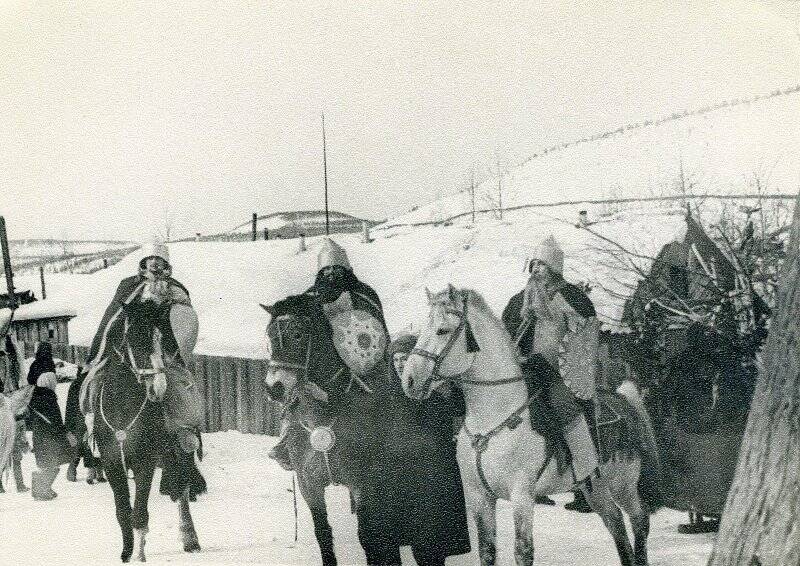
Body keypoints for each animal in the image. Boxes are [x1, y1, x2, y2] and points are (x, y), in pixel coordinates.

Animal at [94, 302, 203, 564]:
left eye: (160, 340)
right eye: (134, 338)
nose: (159, 387)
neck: (122, 410)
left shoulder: (145, 463)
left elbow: (139, 512)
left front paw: (140, 554)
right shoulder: (113, 465)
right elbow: (123, 511)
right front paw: (127, 552)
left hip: (182, 448)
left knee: (183, 489)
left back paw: (190, 538)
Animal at [266, 296, 468, 564]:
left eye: (298, 334)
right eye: (269, 335)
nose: (274, 388)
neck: (325, 414)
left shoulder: (362, 485)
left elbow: (369, 538)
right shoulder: (309, 485)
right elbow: (324, 535)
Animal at [400, 288, 664, 566]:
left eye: (442, 330)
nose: (409, 380)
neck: (494, 415)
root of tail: (624, 400)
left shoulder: (522, 495)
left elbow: (523, 551)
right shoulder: (479, 496)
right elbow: (487, 551)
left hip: (623, 483)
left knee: (639, 519)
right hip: (596, 488)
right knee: (616, 523)